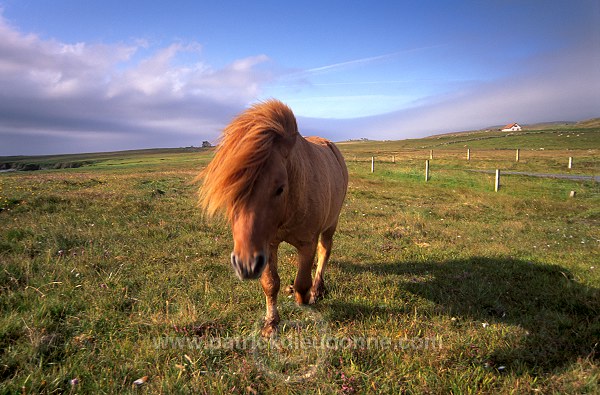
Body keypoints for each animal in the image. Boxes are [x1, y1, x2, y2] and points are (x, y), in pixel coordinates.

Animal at [198, 100, 346, 338]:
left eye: (279, 188)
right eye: (230, 190)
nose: (246, 265)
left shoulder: (307, 244)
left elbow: (302, 282)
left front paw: (304, 299)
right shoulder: (267, 245)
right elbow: (270, 283)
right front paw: (271, 323)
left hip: (331, 224)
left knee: (325, 252)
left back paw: (317, 288)